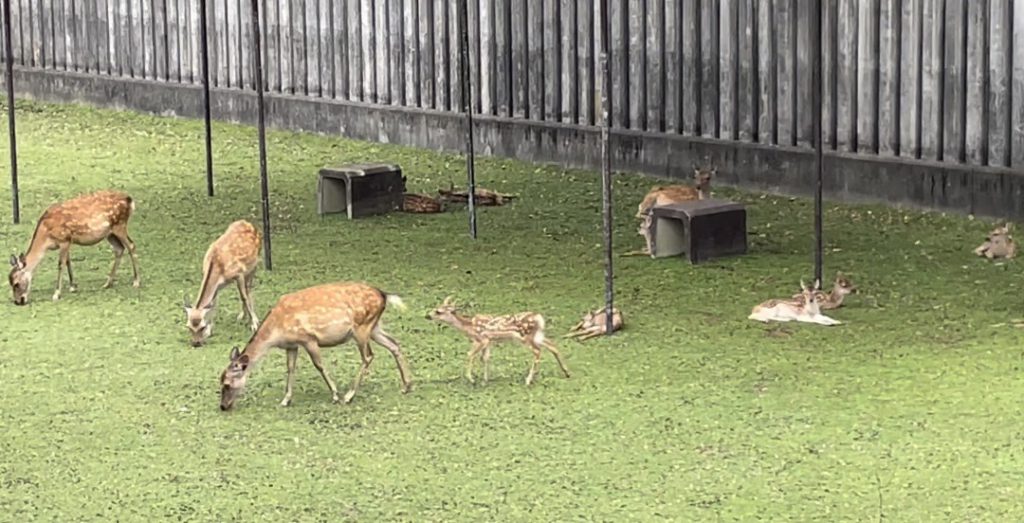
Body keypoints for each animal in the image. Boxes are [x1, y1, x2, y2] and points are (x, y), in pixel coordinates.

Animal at [8, 189, 140, 305]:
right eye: (10, 282)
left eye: (16, 283)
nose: (18, 302)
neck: (46, 236)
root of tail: (129, 200)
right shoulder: (68, 241)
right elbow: (68, 261)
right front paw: (72, 287)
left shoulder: (64, 239)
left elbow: (61, 264)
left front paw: (56, 294)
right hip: (109, 233)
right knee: (119, 249)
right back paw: (108, 283)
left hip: (120, 225)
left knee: (131, 245)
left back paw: (136, 281)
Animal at [219, 282, 412, 411]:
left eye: (227, 384)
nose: (223, 406)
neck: (277, 330)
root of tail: (383, 295)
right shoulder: (292, 345)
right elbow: (290, 369)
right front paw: (285, 400)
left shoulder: (308, 339)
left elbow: (319, 365)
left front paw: (335, 395)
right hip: (374, 326)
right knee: (394, 344)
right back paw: (406, 386)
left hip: (361, 328)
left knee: (368, 356)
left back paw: (349, 396)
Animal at [427, 296, 570, 385]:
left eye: (438, 311)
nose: (427, 316)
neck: (469, 327)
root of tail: (539, 318)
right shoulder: (489, 341)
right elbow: (485, 358)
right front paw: (485, 380)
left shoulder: (481, 339)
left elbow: (470, 355)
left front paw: (472, 379)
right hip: (537, 336)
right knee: (552, 345)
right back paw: (567, 372)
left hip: (526, 336)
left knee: (537, 351)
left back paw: (528, 380)